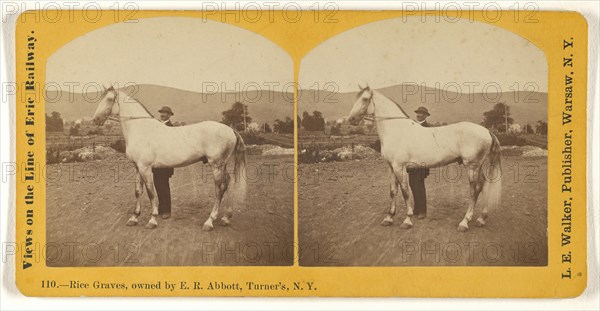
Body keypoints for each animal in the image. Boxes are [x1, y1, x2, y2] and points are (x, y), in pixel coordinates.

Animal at [91, 85, 246, 232]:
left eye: (109, 99)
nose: (95, 120)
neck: (141, 129)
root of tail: (231, 129)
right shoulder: (137, 167)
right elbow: (138, 191)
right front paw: (134, 218)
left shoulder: (145, 168)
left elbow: (151, 193)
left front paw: (152, 220)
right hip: (222, 165)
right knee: (228, 183)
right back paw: (226, 218)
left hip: (216, 165)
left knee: (219, 189)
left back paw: (209, 221)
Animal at [346, 85, 502, 232]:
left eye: (365, 99)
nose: (351, 120)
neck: (397, 130)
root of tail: (487, 131)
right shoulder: (391, 167)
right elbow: (393, 191)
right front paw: (389, 218)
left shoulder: (399, 167)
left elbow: (405, 192)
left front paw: (407, 220)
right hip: (478, 166)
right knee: (482, 185)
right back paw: (481, 219)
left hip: (472, 166)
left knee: (474, 190)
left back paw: (464, 222)